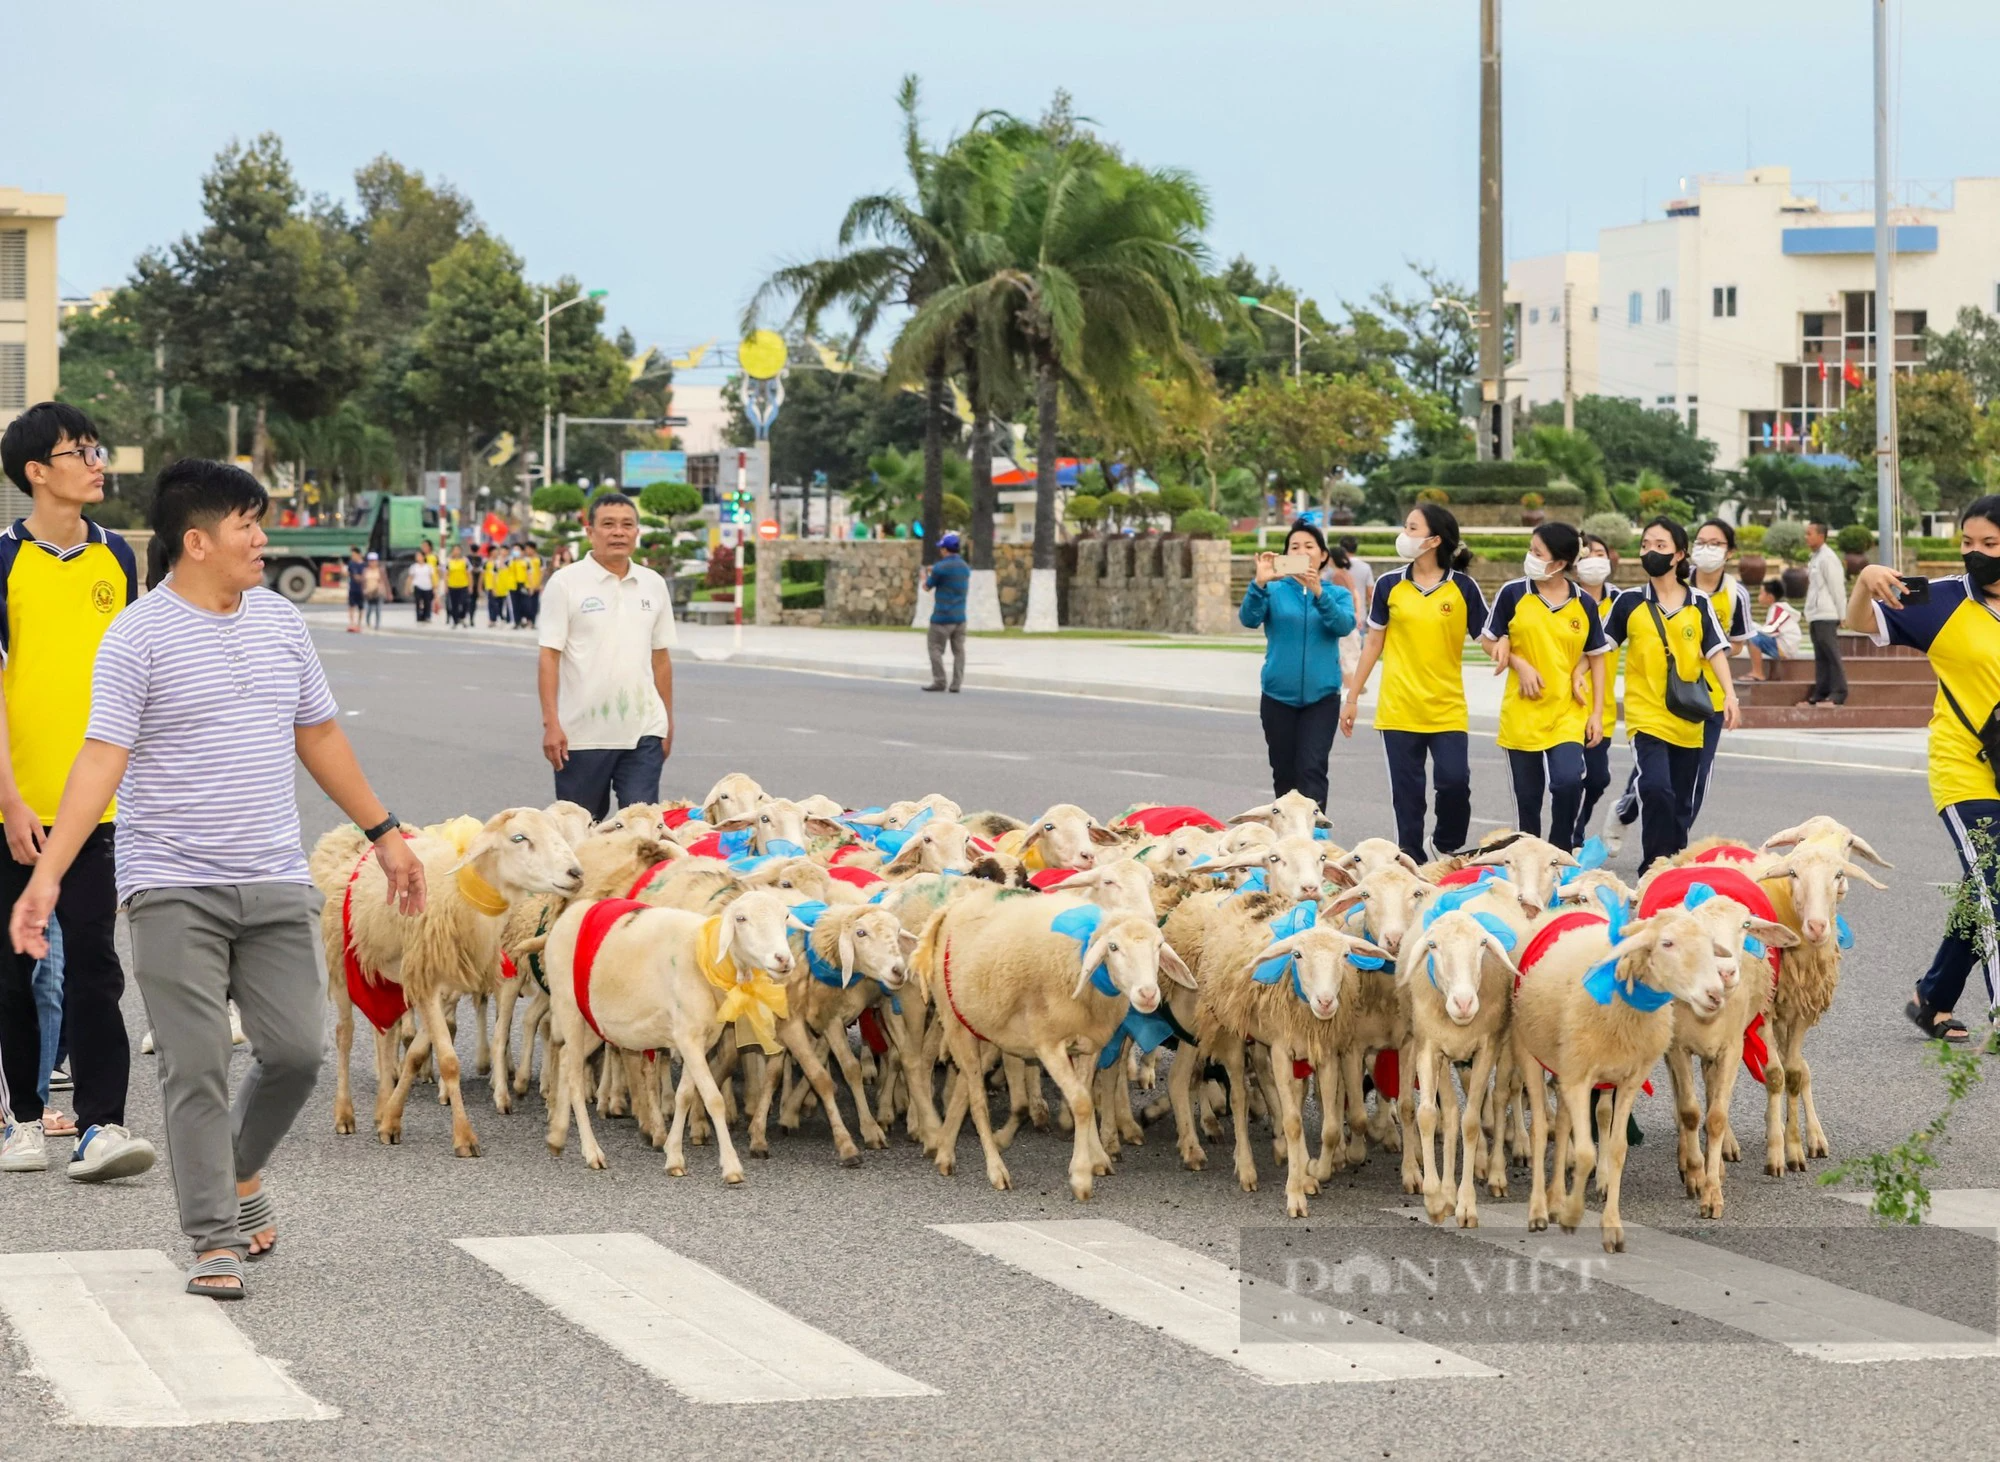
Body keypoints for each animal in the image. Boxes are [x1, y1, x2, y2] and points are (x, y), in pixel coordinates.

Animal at [320, 812, 584, 1152]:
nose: (576, 873)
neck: (461, 896)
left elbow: (417, 1054)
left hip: (386, 975)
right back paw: (344, 1114)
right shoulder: (428, 983)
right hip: (341, 964)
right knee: (345, 1035)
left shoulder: (443, 989)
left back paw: (380, 1107)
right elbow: (448, 1061)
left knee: (385, 1035)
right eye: (519, 838)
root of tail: (350, 846)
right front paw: (464, 1137)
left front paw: (391, 1120)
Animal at [544, 888, 800, 1184]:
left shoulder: (699, 1040)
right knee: (574, 1075)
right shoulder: (688, 1038)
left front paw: (674, 1158)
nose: (783, 959)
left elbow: (685, 1096)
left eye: (786, 916)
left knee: (565, 1059)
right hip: (569, 1009)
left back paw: (557, 1136)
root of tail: (571, 913)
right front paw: (731, 1167)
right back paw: (592, 1152)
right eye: (741, 918)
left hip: (597, 1021)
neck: (703, 957)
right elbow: (713, 1099)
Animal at [916, 888, 1184, 1192]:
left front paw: (1096, 1158)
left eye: (1159, 946)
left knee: (963, 1090)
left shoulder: (1090, 1045)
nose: (1148, 994)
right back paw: (995, 1169)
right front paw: (1081, 1175)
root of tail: (950, 908)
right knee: (976, 1100)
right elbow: (1081, 1102)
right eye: (1113, 947)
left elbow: (1086, 1096)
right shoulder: (1049, 1045)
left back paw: (944, 1151)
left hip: (985, 1027)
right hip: (956, 1023)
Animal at [1520, 904, 1744, 1248]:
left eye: (1709, 945)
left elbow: (1616, 1150)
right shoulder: (1580, 1077)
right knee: (1541, 1130)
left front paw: (1611, 1227)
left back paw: (1555, 1198)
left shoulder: (1628, 1079)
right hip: (1529, 1053)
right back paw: (1540, 1211)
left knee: (1563, 1123)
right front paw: (1573, 1213)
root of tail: (1566, 907)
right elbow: (1585, 1153)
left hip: (1565, 1066)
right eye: (1667, 943)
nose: (1715, 994)